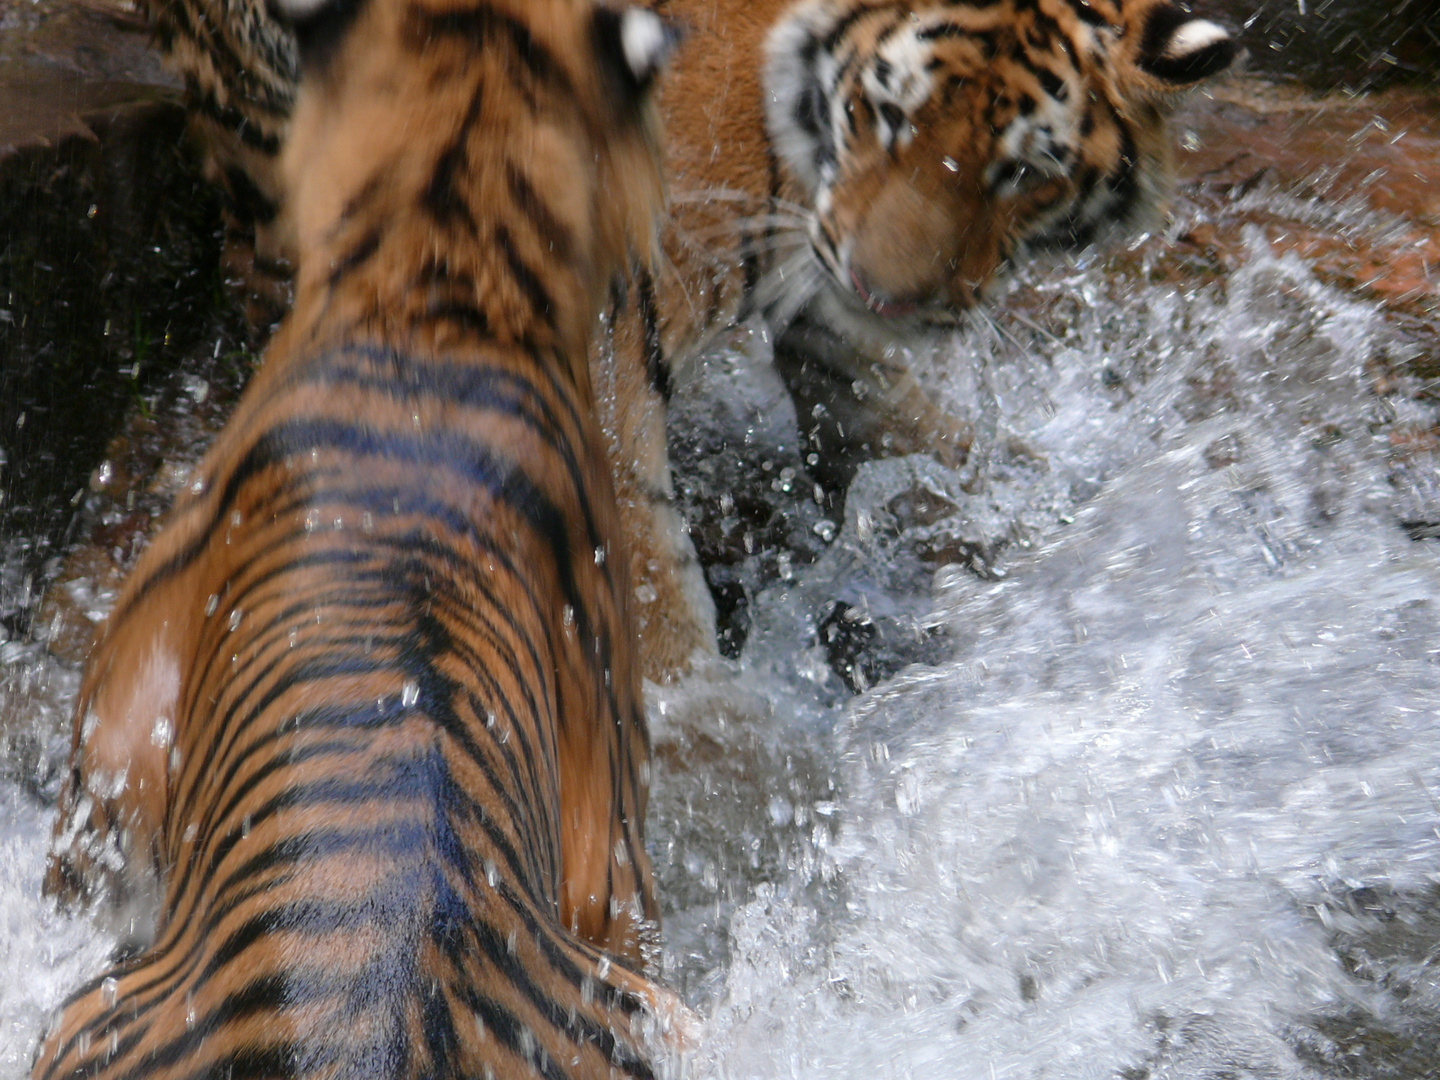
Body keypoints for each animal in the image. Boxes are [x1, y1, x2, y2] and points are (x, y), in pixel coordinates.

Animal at [118, 0, 1238, 679]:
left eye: (1024, 170)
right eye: (887, 114)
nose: (886, 293)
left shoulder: (822, 283)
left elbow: (904, 429)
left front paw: (1058, 536)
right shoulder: (599, 321)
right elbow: (643, 573)